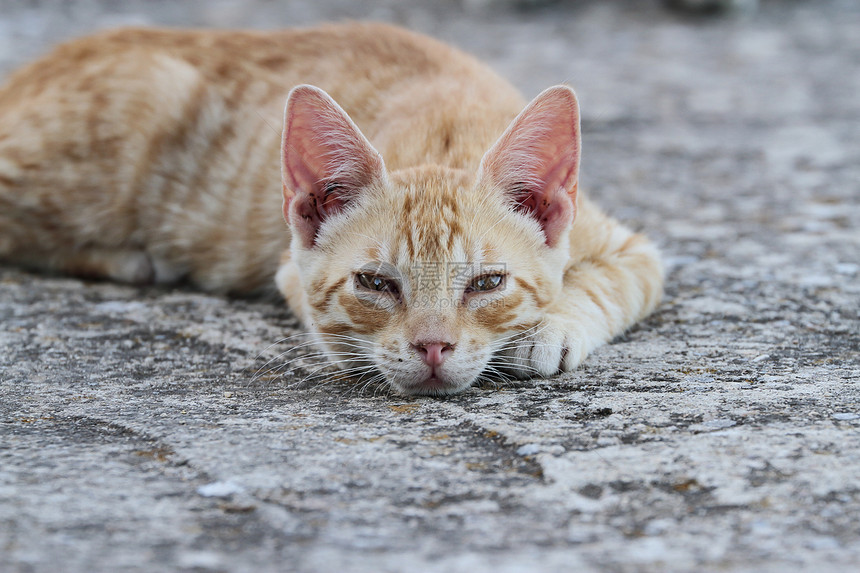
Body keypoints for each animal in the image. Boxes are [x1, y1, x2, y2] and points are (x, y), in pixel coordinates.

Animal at [0, 21, 664, 394]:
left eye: (487, 283)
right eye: (375, 283)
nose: (432, 348)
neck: (446, 140)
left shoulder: (631, 250)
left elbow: (604, 285)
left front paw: (550, 328)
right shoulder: (291, 270)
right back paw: (132, 259)